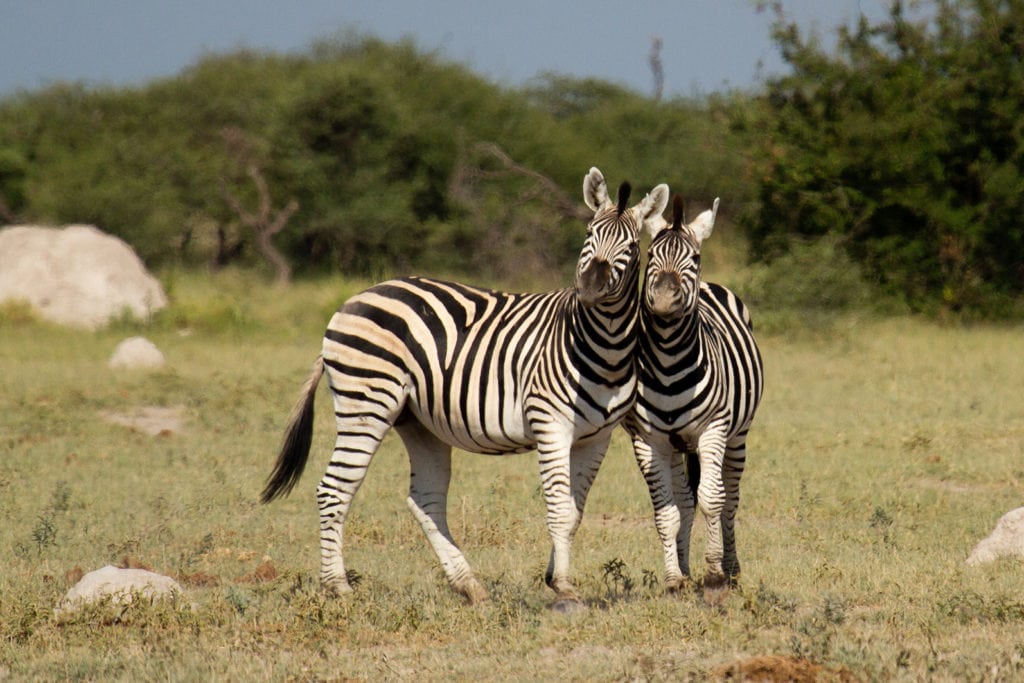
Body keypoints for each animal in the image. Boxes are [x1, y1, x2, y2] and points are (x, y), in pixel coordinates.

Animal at [260, 166, 667, 610]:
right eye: (589, 233)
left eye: (632, 245)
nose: (590, 287)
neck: (603, 344)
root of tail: (353, 300)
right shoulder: (551, 424)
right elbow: (559, 507)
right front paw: (563, 585)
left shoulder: (597, 437)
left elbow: (574, 511)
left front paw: (554, 577)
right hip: (366, 401)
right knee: (334, 489)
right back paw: (338, 586)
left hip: (417, 421)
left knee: (425, 499)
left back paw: (468, 584)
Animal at [622, 193, 761, 602]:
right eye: (651, 254)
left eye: (694, 258)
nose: (664, 301)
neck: (668, 360)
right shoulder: (647, 439)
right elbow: (667, 512)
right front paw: (674, 580)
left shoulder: (713, 430)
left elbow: (713, 499)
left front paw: (714, 575)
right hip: (675, 446)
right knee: (685, 501)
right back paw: (685, 569)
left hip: (737, 436)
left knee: (730, 498)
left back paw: (730, 570)